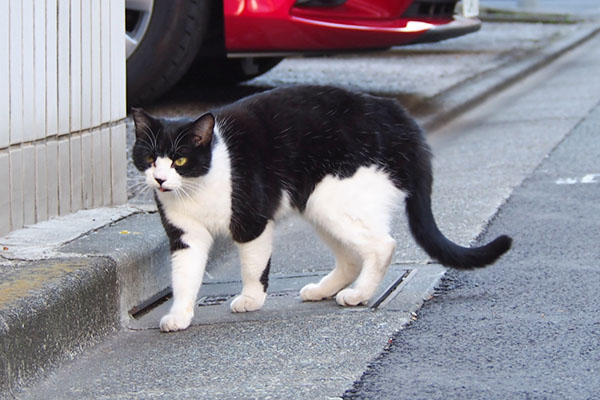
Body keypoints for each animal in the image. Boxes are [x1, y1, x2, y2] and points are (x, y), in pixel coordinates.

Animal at [131, 86, 510, 332]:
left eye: (180, 160)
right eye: (150, 158)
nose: (160, 179)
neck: (198, 186)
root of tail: (398, 114)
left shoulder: (252, 222)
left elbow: (253, 267)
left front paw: (251, 299)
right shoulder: (186, 237)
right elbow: (184, 277)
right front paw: (180, 315)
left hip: (335, 199)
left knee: (382, 246)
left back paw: (358, 295)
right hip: (318, 205)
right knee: (352, 256)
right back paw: (324, 290)